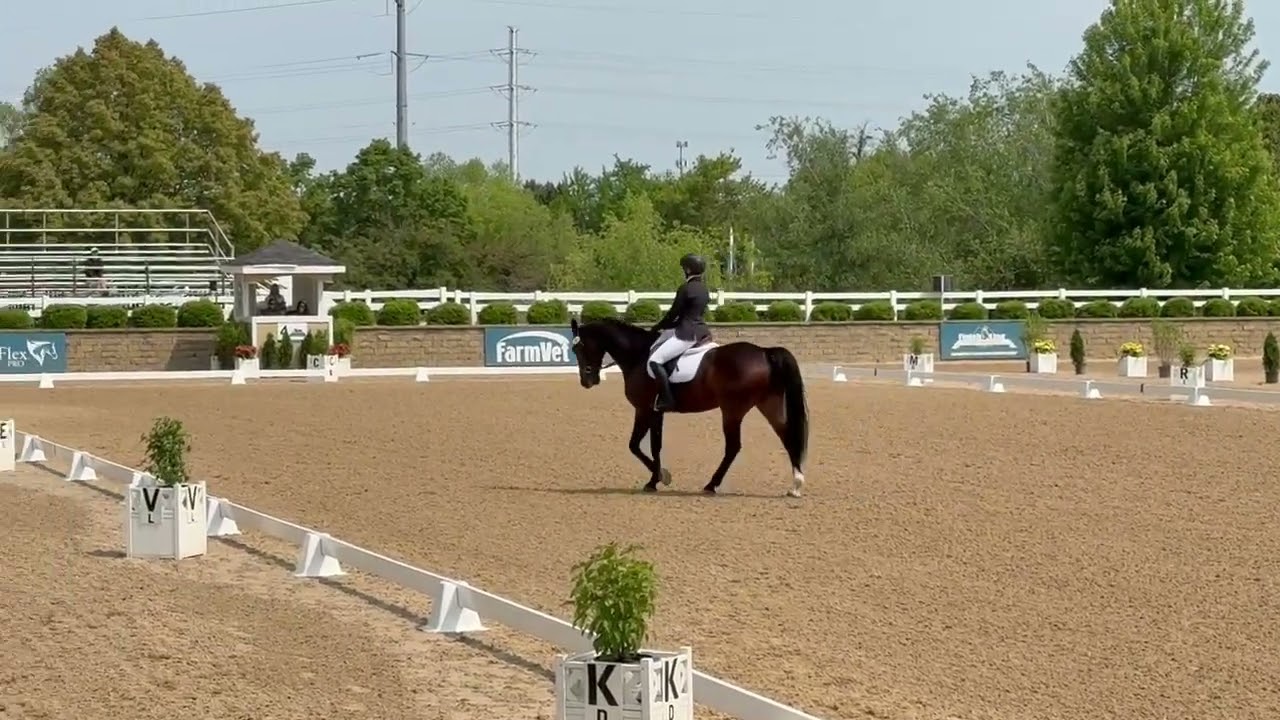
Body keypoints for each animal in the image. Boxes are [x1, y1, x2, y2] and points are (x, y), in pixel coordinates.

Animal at [568, 317, 809, 497]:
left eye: (579, 347)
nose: (587, 381)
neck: (638, 355)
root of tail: (764, 353)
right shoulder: (656, 412)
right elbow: (655, 446)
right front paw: (656, 479)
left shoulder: (644, 409)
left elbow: (635, 445)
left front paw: (659, 478)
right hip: (768, 403)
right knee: (787, 435)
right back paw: (796, 485)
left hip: (732, 410)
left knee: (733, 447)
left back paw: (711, 485)